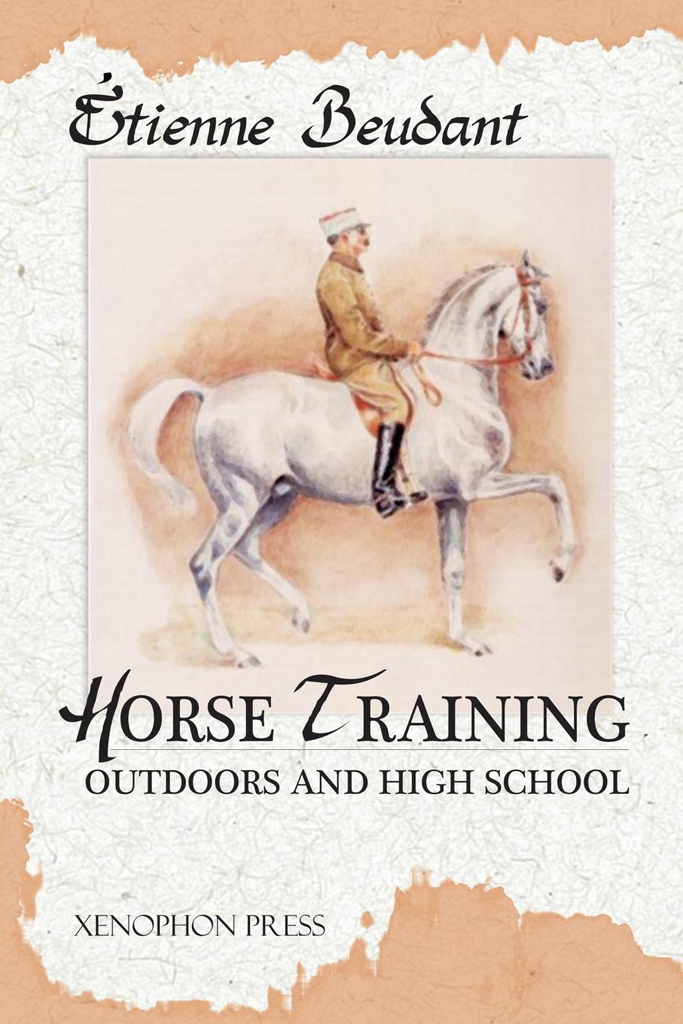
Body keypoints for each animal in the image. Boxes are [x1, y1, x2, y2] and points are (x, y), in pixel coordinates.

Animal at [128, 251, 576, 667]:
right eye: (539, 306)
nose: (543, 367)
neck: (455, 387)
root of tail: (210, 394)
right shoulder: (478, 486)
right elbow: (553, 484)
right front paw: (559, 564)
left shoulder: (453, 499)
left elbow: (453, 569)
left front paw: (465, 640)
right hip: (241, 500)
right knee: (205, 564)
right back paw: (235, 652)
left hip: (280, 496)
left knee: (247, 549)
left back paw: (302, 615)